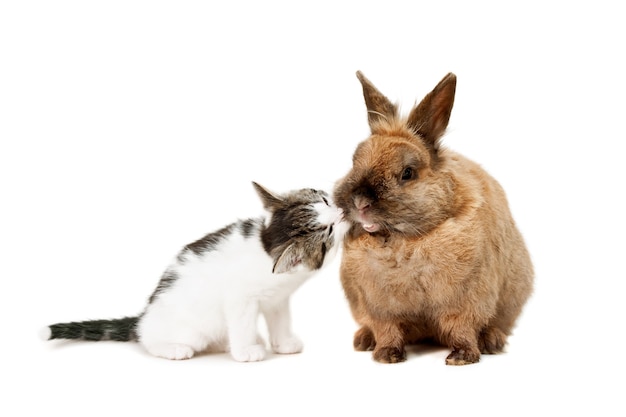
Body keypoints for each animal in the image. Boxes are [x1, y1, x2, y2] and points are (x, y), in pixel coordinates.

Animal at [42, 182, 346, 360]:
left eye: (325, 202)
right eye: (328, 231)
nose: (342, 212)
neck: (265, 247)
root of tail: (144, 316)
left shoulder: (277, 299)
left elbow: (280, 319)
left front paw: (283, 343)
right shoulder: (240, 299)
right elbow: (242, 323)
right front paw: (246, 351)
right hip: (185, 330)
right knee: (148, 340)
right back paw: (174, 348)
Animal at [332, 71, 532, 364]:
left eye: (407, 173)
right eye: (354, 163)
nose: (360, 202)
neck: (403, 242)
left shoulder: (465, 302)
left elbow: (461, 328)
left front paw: (461, 358)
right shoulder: (379, 307)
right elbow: (387, 329)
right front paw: (386, 355)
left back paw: (492, 341)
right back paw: (364, 340)